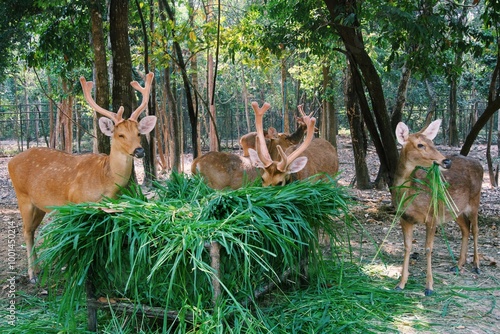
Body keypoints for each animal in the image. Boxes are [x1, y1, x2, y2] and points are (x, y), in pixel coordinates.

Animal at [8, 72, 157, 284]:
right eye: (120, 135)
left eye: (138, 133)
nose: (139, 151)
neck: (105, 181)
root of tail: (11, 161)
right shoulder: (76, 204)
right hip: (22, 196)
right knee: (26, 231)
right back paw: (32, 275)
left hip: (40, 204)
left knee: (33, 230)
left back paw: (37, 268)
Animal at [392, 119, 482, 294]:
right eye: (420, 145)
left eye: (432, 142)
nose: (446, 161)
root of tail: (479, 164)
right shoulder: (404, 217)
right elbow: (407, 247)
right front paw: (400, 284)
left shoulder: (432, 215)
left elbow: (428, 248)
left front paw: (429, 287)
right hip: (455, 209)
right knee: (466, 229)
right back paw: (458, 265)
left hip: (475, 200)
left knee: (475, 229)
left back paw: (476, 265)